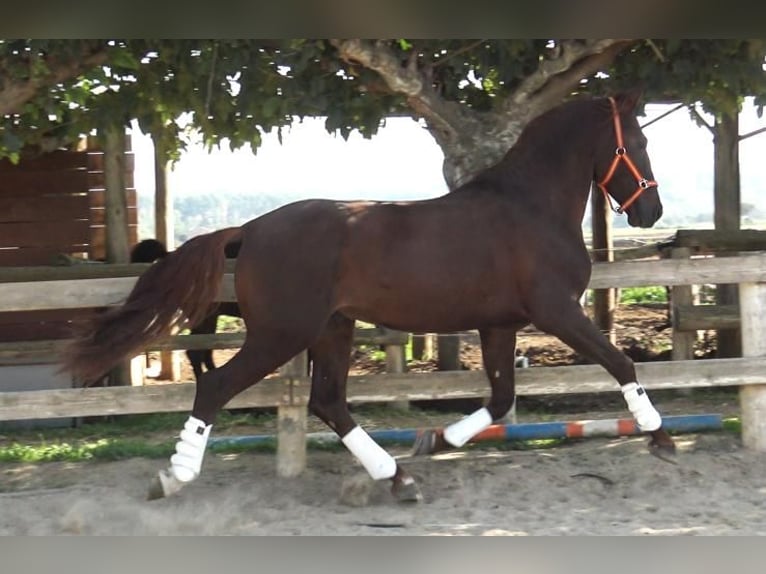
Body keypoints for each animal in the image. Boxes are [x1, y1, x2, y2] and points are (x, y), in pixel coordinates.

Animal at [60, 91, 676, 504]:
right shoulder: (556, 311)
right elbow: (620, 364)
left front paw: (436, 439)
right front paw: (661, 438)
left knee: (327, 402)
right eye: (639, 142)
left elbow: (501, 399)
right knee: (217, 386)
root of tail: (251, 229)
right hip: (283, 334)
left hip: (332, 328)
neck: (530, 208)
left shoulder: (499, 324)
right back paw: (172, 477)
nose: (651, 211)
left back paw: (398, 477)